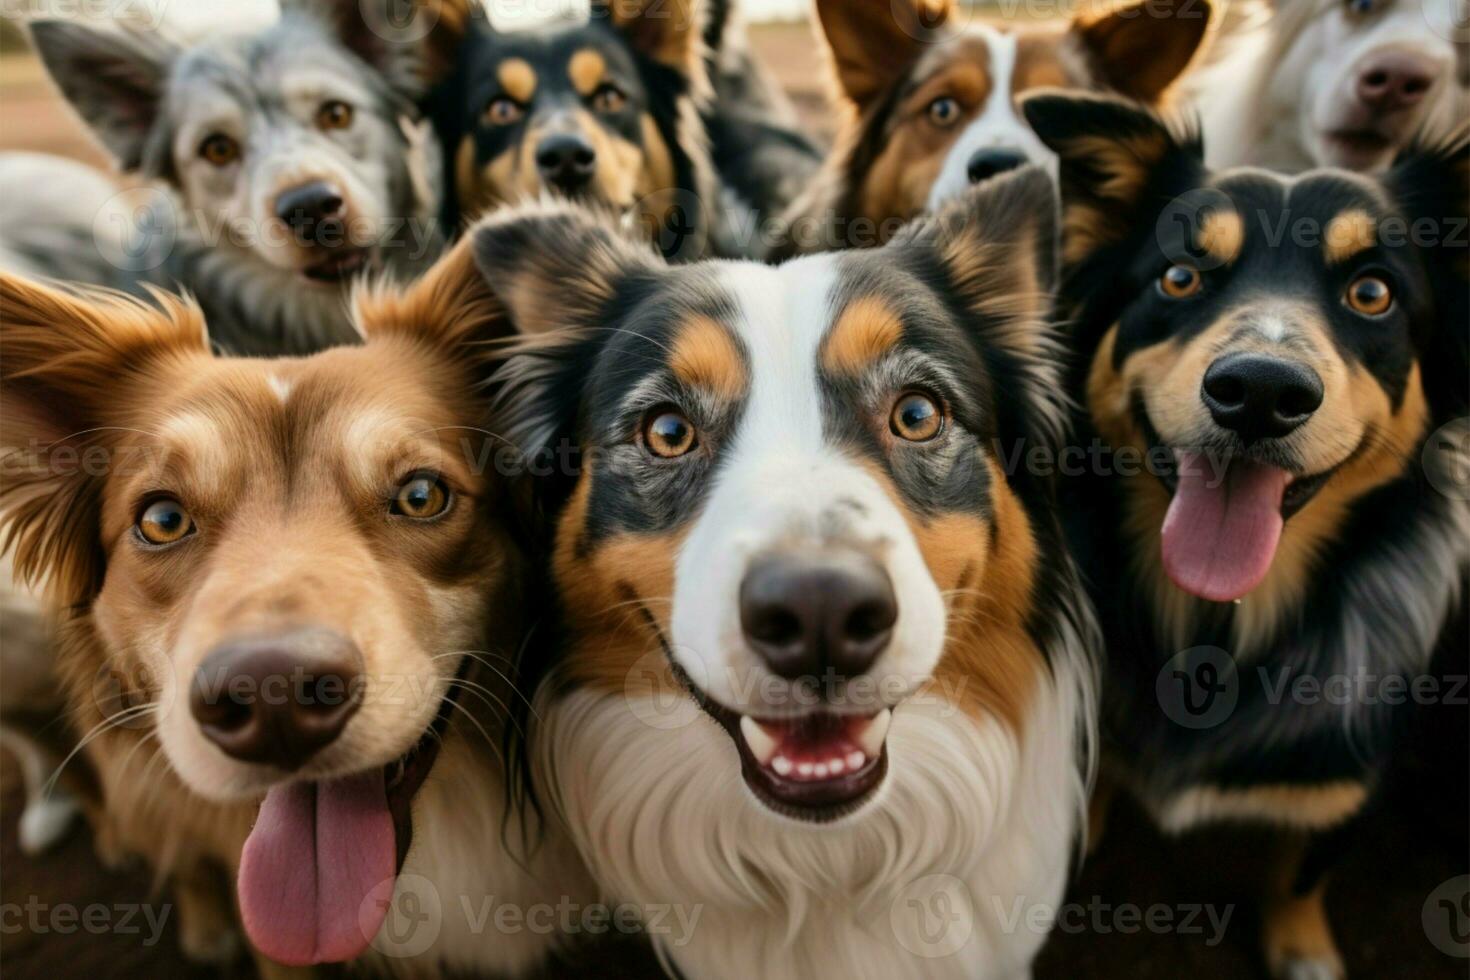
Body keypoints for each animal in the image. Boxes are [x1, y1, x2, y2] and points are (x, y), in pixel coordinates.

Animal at [1023, 89, 1470, 975]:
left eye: (1373, 293)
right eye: (1180, 276)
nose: (1259, 392)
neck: (1220, 621)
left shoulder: (1345, 777)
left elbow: (1301, 873)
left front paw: (1304, 953)